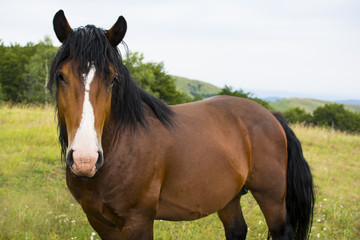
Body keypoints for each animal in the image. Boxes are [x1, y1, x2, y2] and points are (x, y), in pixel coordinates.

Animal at [48, 9, 316, 240]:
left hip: (271, 197)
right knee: (237, 230)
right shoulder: (99, 222)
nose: (85, 159)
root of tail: (270, 115)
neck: (122, 147)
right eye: (61, 76)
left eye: (113, 79)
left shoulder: (138, 221)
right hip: (228, 197)